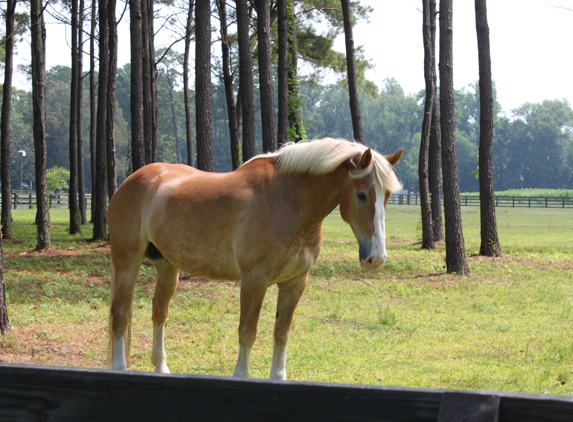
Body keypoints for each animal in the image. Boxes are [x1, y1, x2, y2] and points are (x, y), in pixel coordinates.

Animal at [107, 138, 402, 380]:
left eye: (387, 195)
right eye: (362, 194)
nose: (376, 257)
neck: (288, 201)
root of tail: (133, 180)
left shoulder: (295, 282)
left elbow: (281, 332)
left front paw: (278, 376)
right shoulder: (254, 280)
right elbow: (248, 332)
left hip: (168, 267)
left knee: (159, 312)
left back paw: (161, 367)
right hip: (127, 262)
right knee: (121, 313)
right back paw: (119, 367)